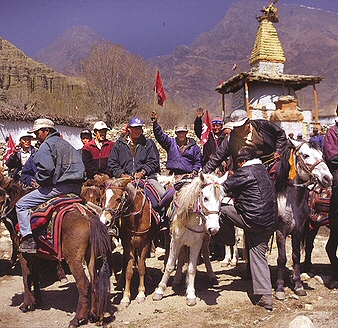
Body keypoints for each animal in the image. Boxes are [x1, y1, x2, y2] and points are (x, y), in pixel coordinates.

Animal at [0, 169, 113, 328]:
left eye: (1, 199)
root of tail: (88, 217)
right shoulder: (36, 255)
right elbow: (35, 277)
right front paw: (37, 301)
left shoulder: (23, 253)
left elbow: (26, 278)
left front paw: (26, 304)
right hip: (91, 257)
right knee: (94, 280)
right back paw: (93, 314)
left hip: (74, 259)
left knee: (84, 283)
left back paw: (77, 319)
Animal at [99, 178, 158, 306]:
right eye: (102, 198)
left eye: (118, 199)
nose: (104, 221)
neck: (136, 219)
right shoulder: (128, 245)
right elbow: (129, 270)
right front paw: (125, 296)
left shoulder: (145, 244)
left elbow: (141, 267)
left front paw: (141, 293)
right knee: (126, 262)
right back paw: (121, 281)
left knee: (141, 261)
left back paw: (148, 277)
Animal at [152, 173, 224, 306]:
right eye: (205, 198)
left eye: (221, 199)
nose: (214, 228)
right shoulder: (175, 240)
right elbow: (170, 265)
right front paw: (159, 291)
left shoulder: (196, 243)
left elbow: (192, 269)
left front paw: (190, 294)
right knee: (180, 256)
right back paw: (177, 279)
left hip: (205, 239)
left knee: (206, 254)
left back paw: (211, 276)